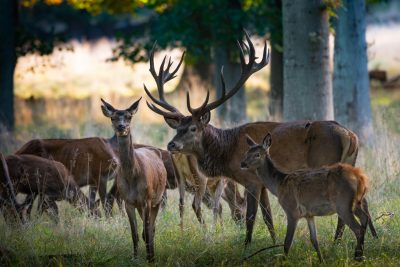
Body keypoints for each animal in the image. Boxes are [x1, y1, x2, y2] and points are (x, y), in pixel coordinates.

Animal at [101, 97, 167, 262]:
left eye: (129, 116)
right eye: (113, 117)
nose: (121, 127)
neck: (132, 176)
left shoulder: (147, 200)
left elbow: (147, 231)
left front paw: (150, 259)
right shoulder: (128, 201)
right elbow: (134, 234)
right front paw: (135, 258)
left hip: (158, 199)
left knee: (151, 229)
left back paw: (152, 254)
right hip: (140, 205)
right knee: (146, 230)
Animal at [144, 30, 376, 245]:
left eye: (192, 128)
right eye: (178, 128)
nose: (171, 144)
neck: (227, 153)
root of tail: (351, 136)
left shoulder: (251, 180)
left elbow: (251, 217)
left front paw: (247, 246)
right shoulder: (262, 184)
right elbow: (268, 218)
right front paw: (274, 244)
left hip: (325, 163)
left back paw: (341, 241)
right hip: (350, 163)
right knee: (361, 201)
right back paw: (361, 237)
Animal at [241, 134, 372, 262]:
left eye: (257, 154)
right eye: (246, 152)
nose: (242, 164)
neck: (279, 185)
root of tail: (360, 177)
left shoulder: (292, 211)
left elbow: (287, 242)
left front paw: (283, 261)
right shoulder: (309, 214)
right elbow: (314, 240)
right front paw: (321, 261)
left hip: (343, 204)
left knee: (358, 229)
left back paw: (358, 257)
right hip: (355, 203)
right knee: (364, 218)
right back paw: (360, 254)